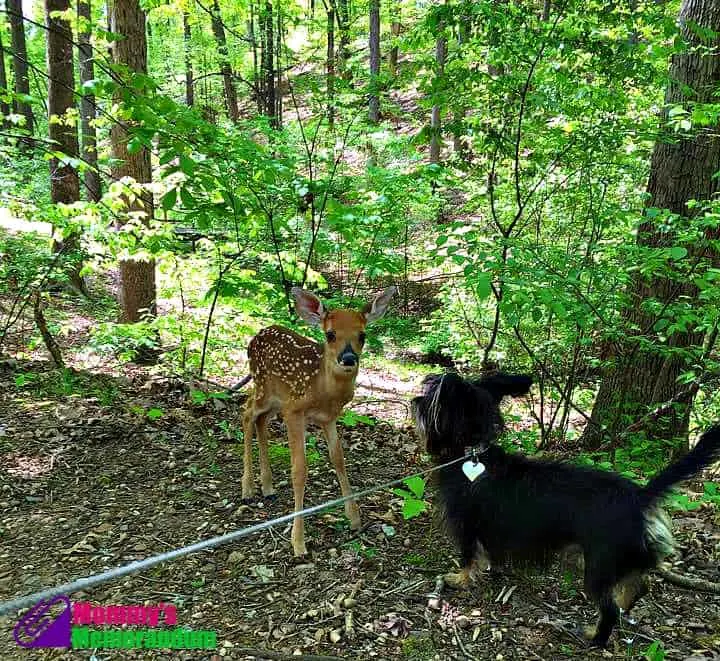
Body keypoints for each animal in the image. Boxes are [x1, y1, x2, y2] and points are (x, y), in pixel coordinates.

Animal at [410, 372, 720, 644]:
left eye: (429, 402)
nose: (414, 400)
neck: (472, 454)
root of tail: (640, 495)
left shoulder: (465, 525)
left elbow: (467, 558)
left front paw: (458, 579)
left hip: (597, 566)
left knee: (609, 609)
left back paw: (596, 638)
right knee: (638, 585)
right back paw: (623, 608)